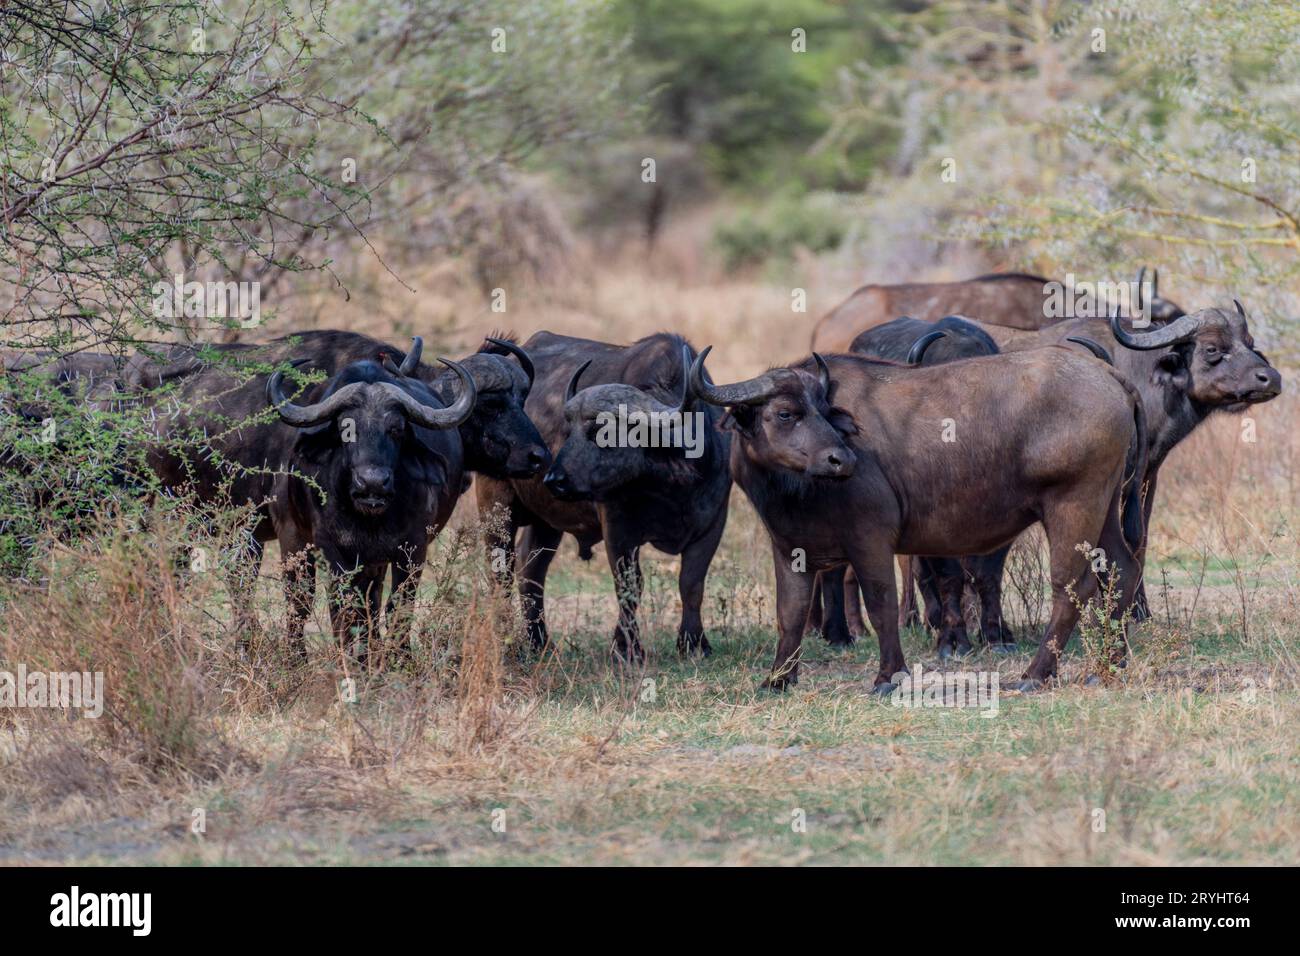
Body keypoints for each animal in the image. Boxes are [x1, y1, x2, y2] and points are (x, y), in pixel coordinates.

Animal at [475, 332, 733, 660]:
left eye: (601, 431)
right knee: (501, 572)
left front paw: (694, 643)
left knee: (530, 567)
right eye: (569, 429)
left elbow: (691, 583)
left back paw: (540, 642)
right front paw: (626, 648)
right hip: (495, 506)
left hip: (547, 521)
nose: (555, 479)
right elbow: (629, 585)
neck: (672, 485)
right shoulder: (618, 527)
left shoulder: (713, 524)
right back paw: (507, 640)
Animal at [691, 348, 1149, 691]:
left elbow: (881, 603)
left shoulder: (870, 538)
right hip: (1105, 505)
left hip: (1073, 505)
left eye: (823, 410)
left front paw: (888, 676)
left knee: (1073, 586)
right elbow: (790, 614)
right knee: (1123, 569)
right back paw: (1108, 664)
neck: (797, 490)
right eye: (786, 413)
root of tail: (1107, 374)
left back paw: (1035, 675)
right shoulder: (789, 548)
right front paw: (777, 680)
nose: (842, 459)